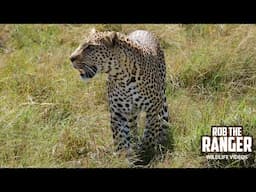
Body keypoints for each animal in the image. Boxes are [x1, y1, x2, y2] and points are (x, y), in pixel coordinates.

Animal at [70, 28, 170, 165]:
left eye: (90, 47)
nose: (71, 58)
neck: (122, 77)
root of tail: (141, 29)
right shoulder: (118, 112)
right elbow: (120, 138)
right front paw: (124, 157)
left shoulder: (153, 109)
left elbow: (149, 134)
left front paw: (145, 153)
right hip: (131, 113)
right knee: (133, 127)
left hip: (162, 97)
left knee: (162, 122)